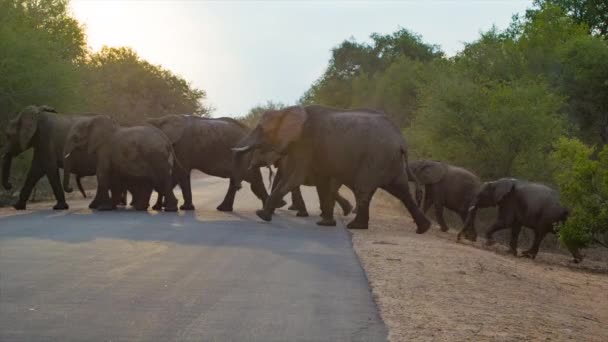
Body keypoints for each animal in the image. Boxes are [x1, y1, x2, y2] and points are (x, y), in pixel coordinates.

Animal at [230, 104, 430, 232]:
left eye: (260, 129)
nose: (238, 186)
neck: (287, 111)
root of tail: (401, 140)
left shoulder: (305, 144)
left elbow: (294, 177)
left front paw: (261, 215)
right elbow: (321, 183)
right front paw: (325, 224)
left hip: (376, 158)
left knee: (365, 189)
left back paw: (356, 226)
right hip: (391, 161)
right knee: (401, 191)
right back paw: (423, 228)